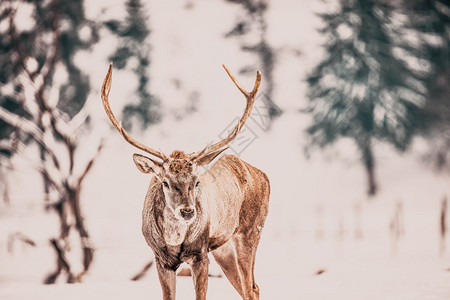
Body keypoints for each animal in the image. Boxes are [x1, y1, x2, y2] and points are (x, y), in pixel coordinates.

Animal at [101, 62, 270, 298]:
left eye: (197, 182)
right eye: (165, 182)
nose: (188, 211)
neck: (174, 240)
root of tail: (263, 175)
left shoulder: (200, 254)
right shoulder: (160, 259)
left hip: (250, 231)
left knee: (251, 288)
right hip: (223, 247)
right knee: (249, 287)